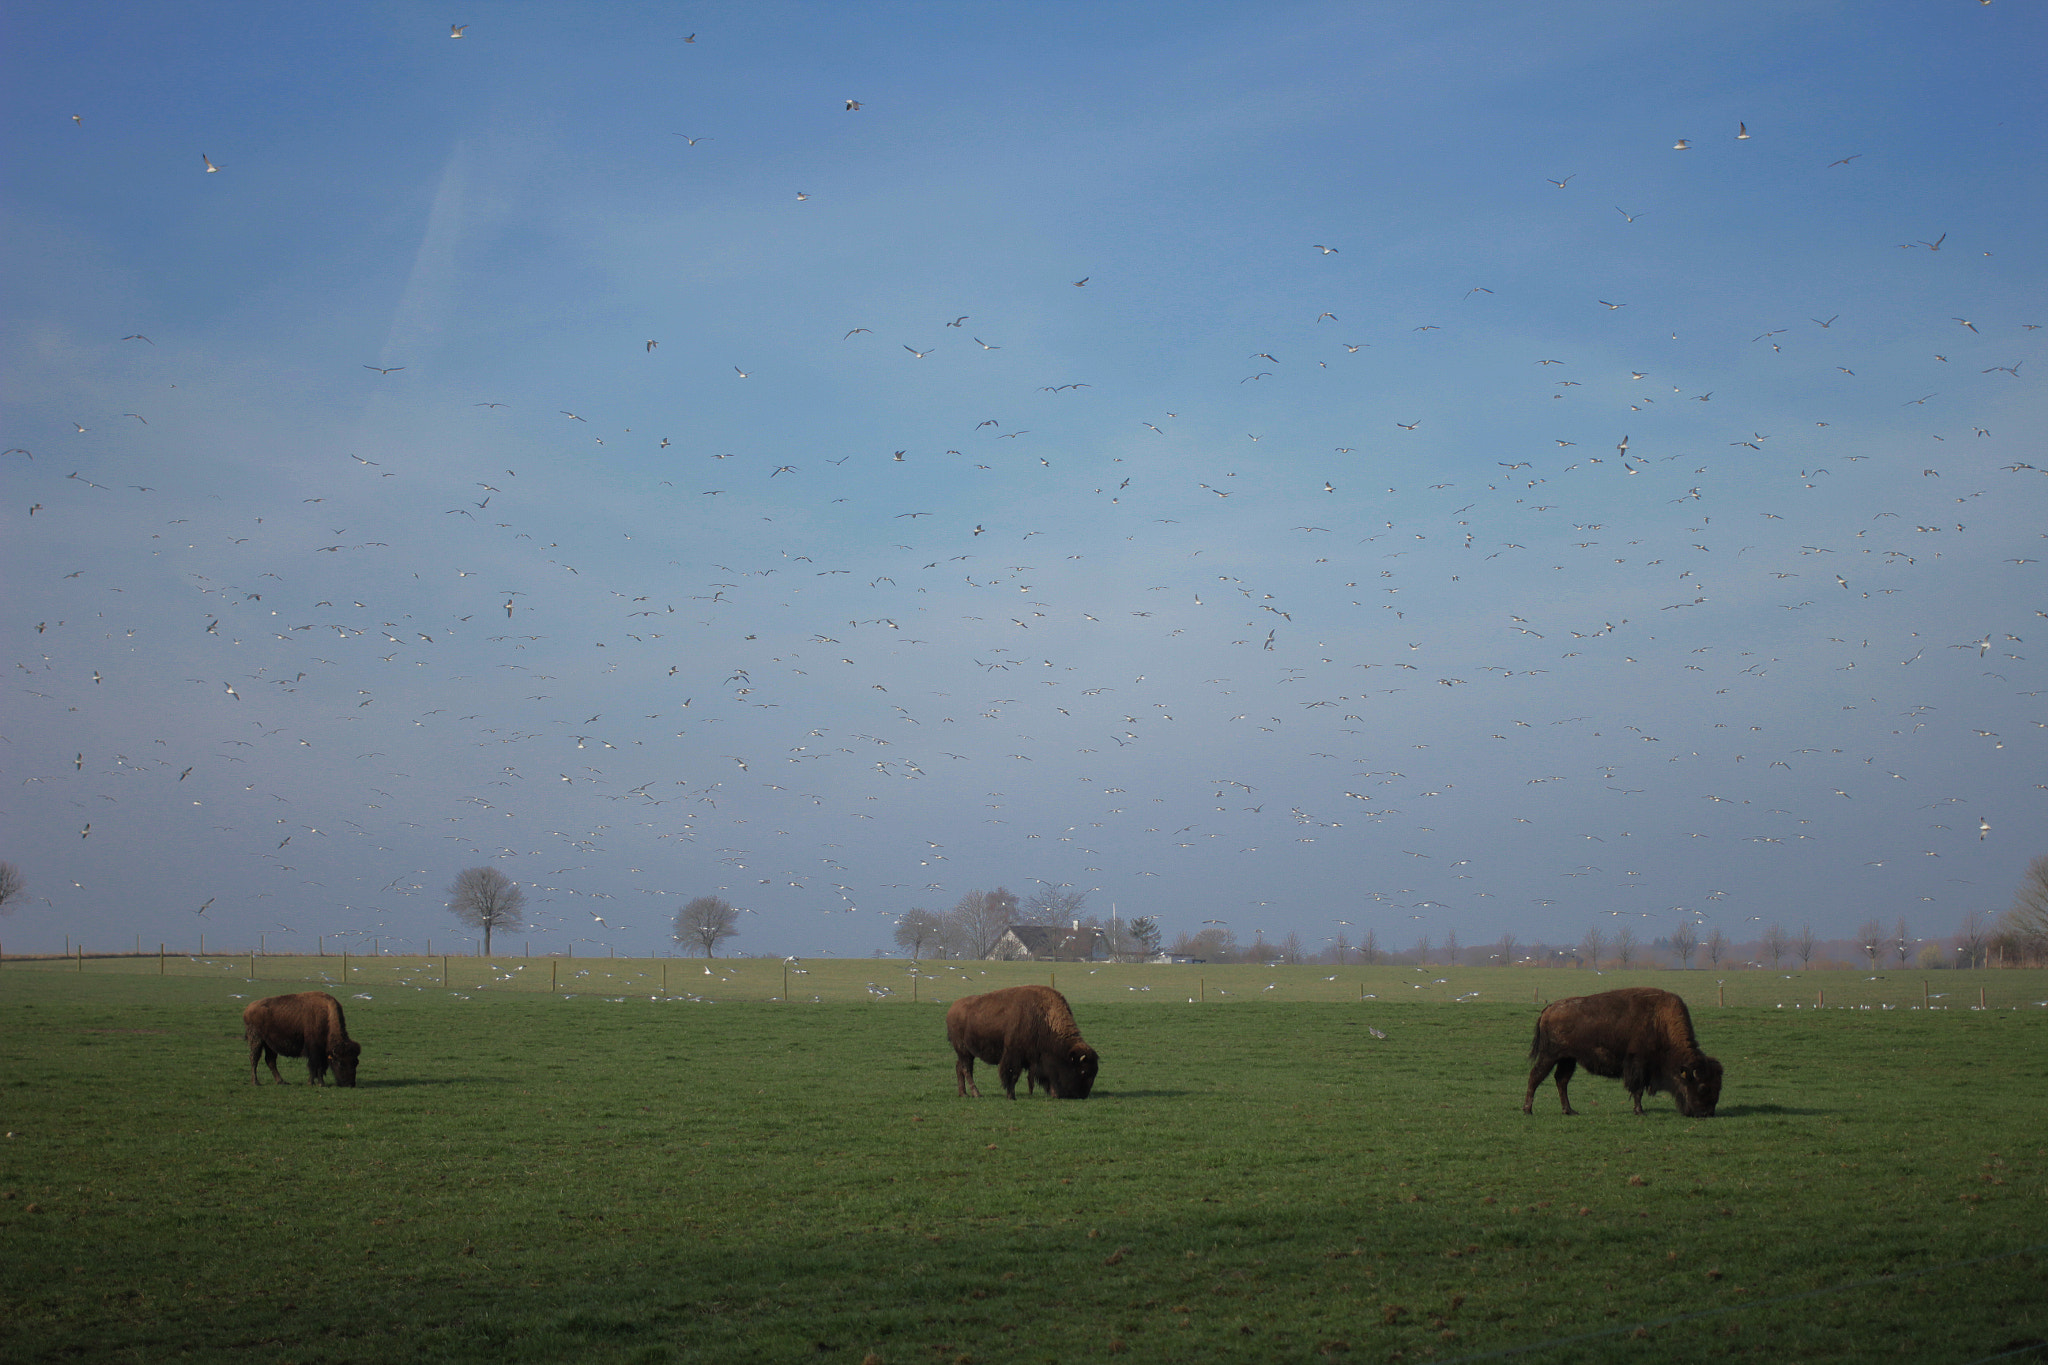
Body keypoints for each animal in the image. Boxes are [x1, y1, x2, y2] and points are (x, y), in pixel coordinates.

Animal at [946, 982, 1097, 1096]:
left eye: (1094, 1073)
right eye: (1083, 1071)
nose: (1083, 1095)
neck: (1045, 1018)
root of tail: (952, 1008)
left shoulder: (1038, 1058)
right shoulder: (1014, 1054)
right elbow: (1012, 1074)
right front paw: (1011, 1094)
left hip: (966, 1053)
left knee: (960, 1067)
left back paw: (963, 1093)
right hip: (964, 1051)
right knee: (966, 1069)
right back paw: (976, 1093)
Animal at [1531, 994, 1720, 1121]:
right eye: (1703, 1088)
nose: (1707, 1113)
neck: (1660, 1021)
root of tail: (1549, 1009)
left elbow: (1638, 1090)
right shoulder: (1639, 1065)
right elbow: (1637, 1090)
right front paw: (1640, 1111)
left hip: (1568, 1059)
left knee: (1561, 1080)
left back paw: (1569, 1110)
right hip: (1550, 1055)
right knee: (1536, 1076)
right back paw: (1528, 1110)